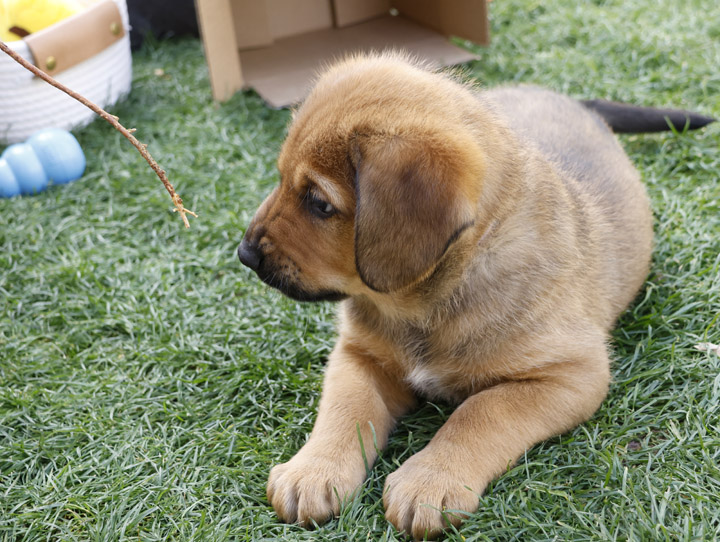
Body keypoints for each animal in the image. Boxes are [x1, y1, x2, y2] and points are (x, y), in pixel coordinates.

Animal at [238, 53, 716, 540]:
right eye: (280, 179)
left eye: (319, 203)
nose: (244, 255)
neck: (422, 303)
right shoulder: (358, 353)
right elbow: (344, 408)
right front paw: (314, 471)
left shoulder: (571, 373)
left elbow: (479, 413)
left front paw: (431, 481)